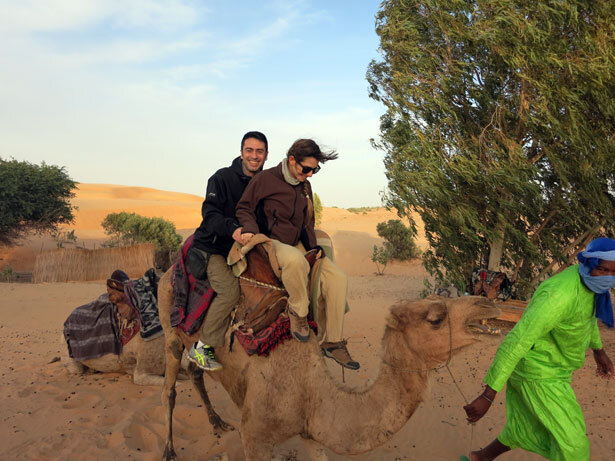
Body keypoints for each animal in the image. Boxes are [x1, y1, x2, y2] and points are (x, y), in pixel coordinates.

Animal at [158, 243, 500, 458]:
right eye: (435, 318)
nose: (487, 304)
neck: (310, 390)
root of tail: (168, 267)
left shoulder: (312, 433)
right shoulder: (254, 436)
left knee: (195, 373)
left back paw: (216, 422)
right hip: (169, 326)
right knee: (170, 386)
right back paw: (169, 450)